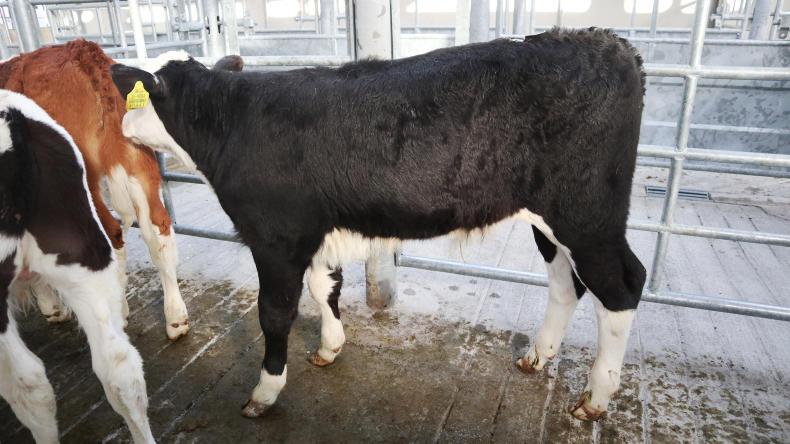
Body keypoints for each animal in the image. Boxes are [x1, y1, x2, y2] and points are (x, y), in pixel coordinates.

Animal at [0, 40, 241, 340]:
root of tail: (84, 54)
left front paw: (49, 305)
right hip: (139, 161)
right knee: (158, 231)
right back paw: (176, 319)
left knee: (110, 234)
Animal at [110, 28, 647, 421]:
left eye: (134, 96)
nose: (118, 127)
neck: (232, 123)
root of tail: (607, 41)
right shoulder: (313, 230)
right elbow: (325, 286)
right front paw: (330, 347)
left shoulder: (275, 236)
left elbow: (274, 313)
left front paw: (264, 392)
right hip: (550, 220)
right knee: (565, 282)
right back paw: (538, 355)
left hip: (588, 215)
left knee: (622, 286)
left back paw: (596, 398)